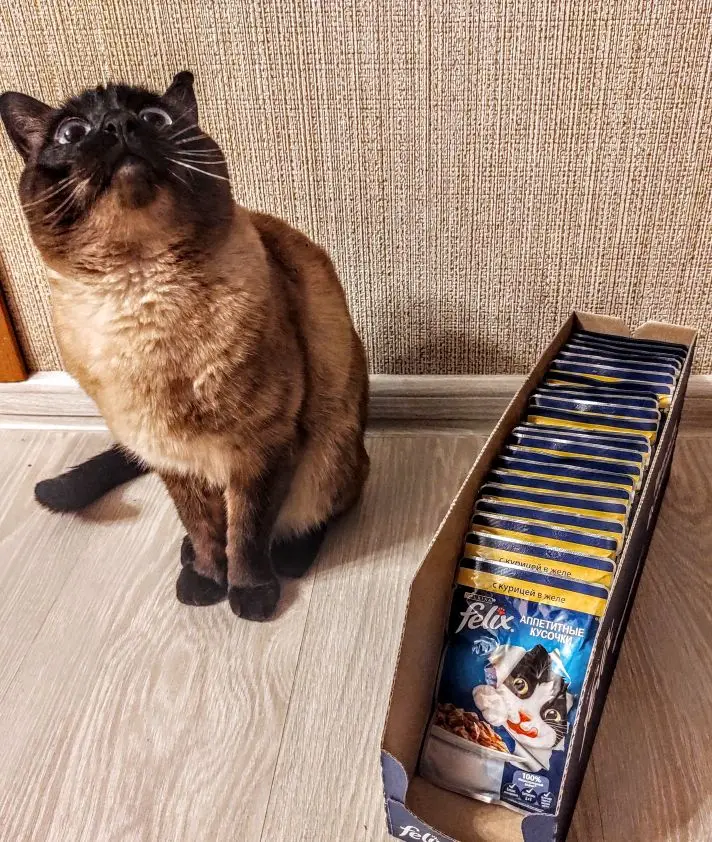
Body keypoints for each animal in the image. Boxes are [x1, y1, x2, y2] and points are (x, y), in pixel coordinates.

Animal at [0, 71, 370, 621]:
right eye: (73, 132)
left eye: (154, 118)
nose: (118, 124)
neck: (144, 291)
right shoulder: (170, 456)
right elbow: (204, 527)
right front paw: (204, 583)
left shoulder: (260, 450)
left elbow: (248, 531)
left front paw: (248, 596)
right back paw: (186, 558)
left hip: (330, 447)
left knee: (315, 513)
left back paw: (289, 560)